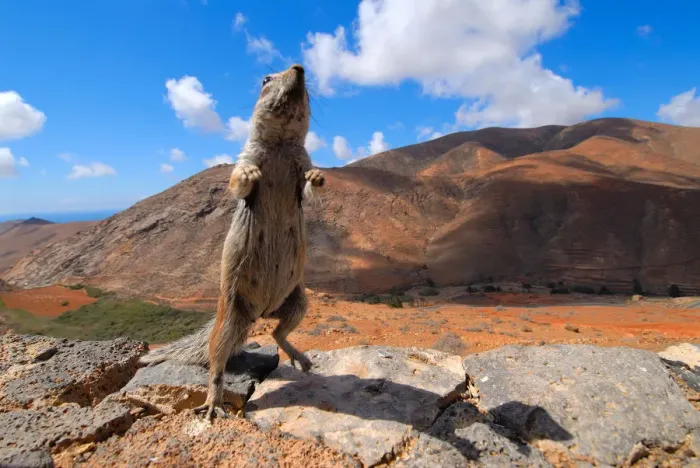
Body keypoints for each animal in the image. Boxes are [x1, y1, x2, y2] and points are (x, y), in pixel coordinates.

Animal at [139, 64, 324, 420]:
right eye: (266, 79)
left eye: (306, 84)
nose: (299, 68)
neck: (280, 145)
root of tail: (261, 312)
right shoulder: (247, 155)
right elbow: (238, 182)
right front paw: (248, 176)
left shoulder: (302, 161)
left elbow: (308, 188)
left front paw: (318, 178)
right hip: (230, 318)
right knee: (217, 362)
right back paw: (213, 403)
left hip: (298, 301)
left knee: (278, 332)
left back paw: (300, 356)